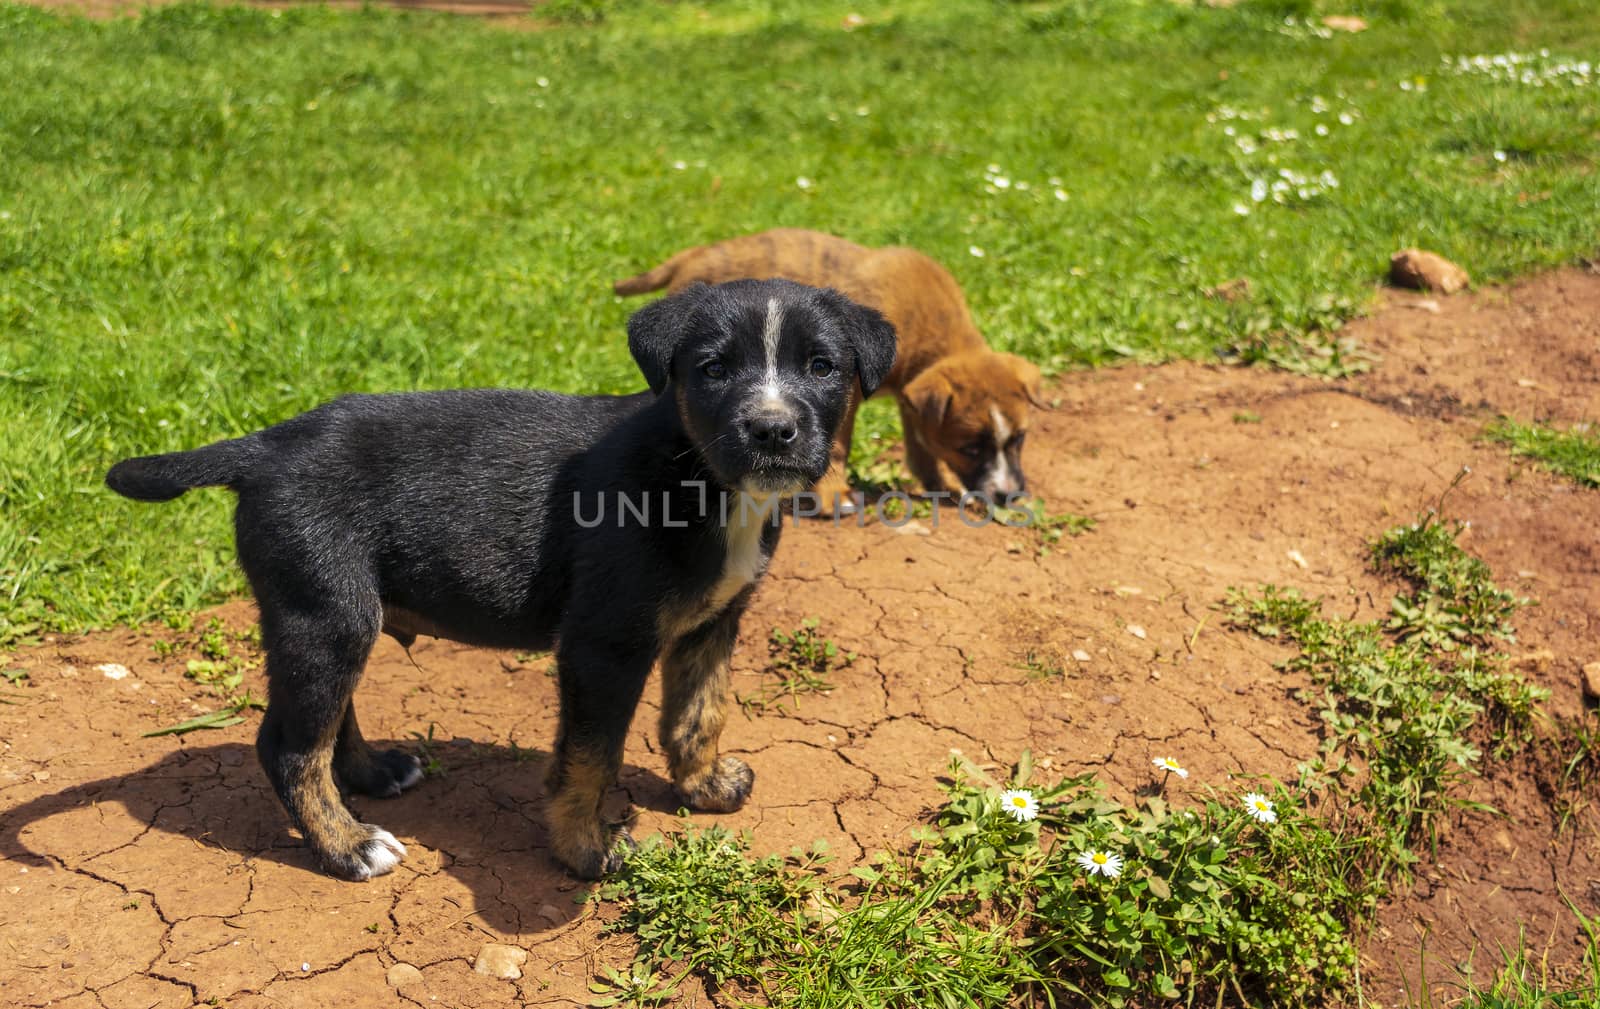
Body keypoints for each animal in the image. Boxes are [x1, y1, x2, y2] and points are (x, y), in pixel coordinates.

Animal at [106, 279, 896, 882]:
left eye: (822, 366)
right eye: (712, 369)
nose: (772, 430)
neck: (700, 476)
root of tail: (264, 446)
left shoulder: (712, 621)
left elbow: (698, 713)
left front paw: (704, 785)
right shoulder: (603, 644)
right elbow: (589, 757)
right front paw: (586, 850)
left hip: (340, 613)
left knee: (331, 719)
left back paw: (371, 775)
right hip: (324, 608)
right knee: (290, 745)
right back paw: (347, 845)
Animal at [614, 228, 1049, 505]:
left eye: (1020, 439)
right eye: (969, 448)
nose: (1009, 496)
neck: (926, 325)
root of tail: (696, 254)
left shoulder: (910, 397)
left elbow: (920, 446)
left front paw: (940, 486)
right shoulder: (847, 389)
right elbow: (839, 442)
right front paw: (833, 495)